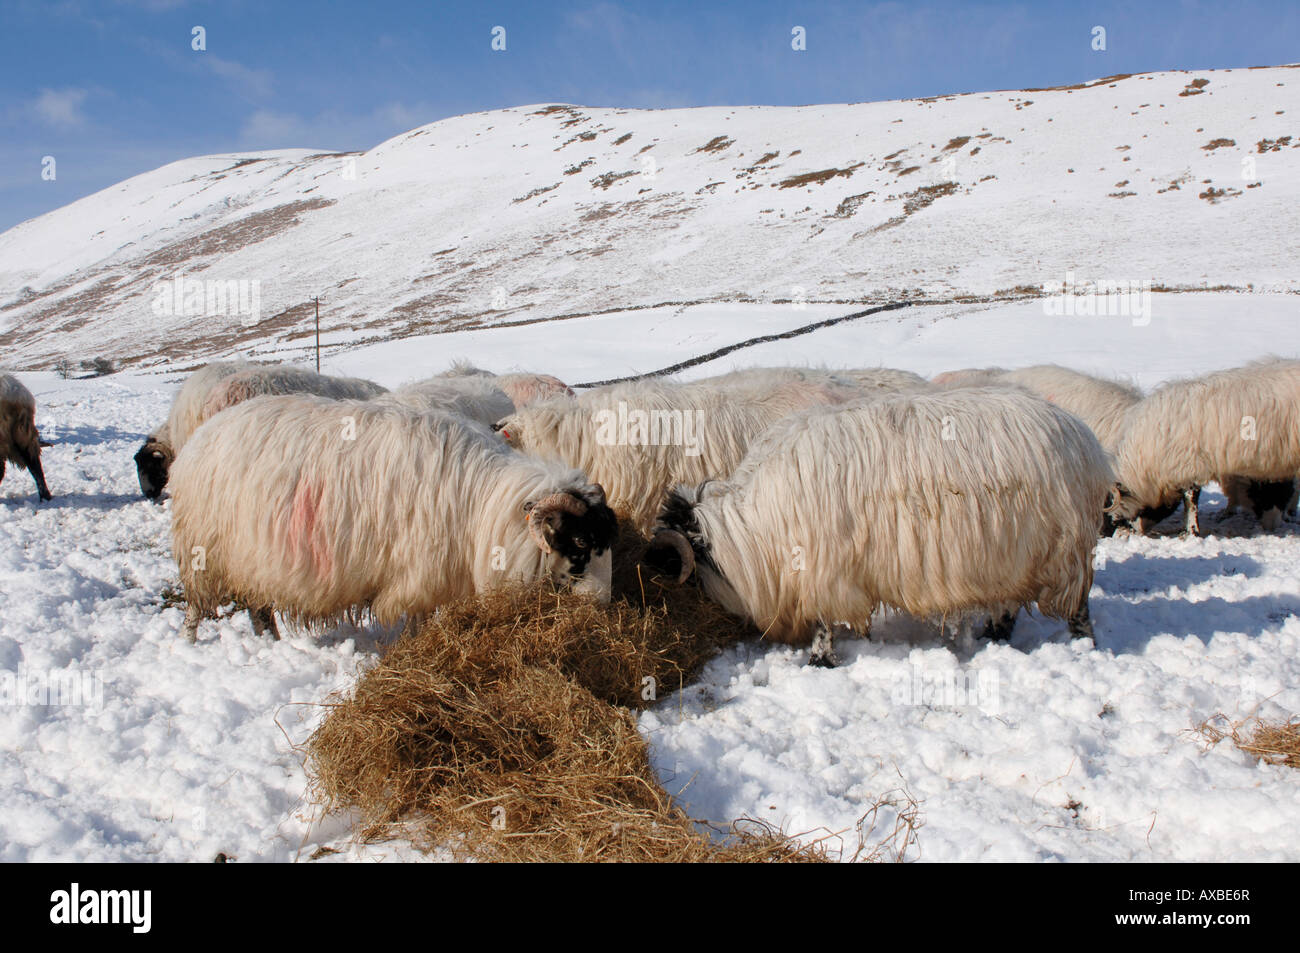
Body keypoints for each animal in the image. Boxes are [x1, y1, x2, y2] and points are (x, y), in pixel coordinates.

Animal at [170, 390, 616, 642]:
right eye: (580, 541)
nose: (604, 605)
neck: (482, 502)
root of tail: (200, 436)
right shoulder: (418, 578)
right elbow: (417, 622)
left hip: (244, 558)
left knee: (256, 605)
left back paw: (270, 641)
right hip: (203, 551)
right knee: (196, 607)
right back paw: (190, 642)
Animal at [644, 384, 1112, 660]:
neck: (754, 527)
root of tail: (1087, 441)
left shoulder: (824, 571)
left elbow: (823, 625)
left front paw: (820, 661)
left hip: (1064, 553)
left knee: (1079, 609)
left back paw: (1084, 648)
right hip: (1012, 552)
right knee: (1008, 604)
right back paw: (991, 638)